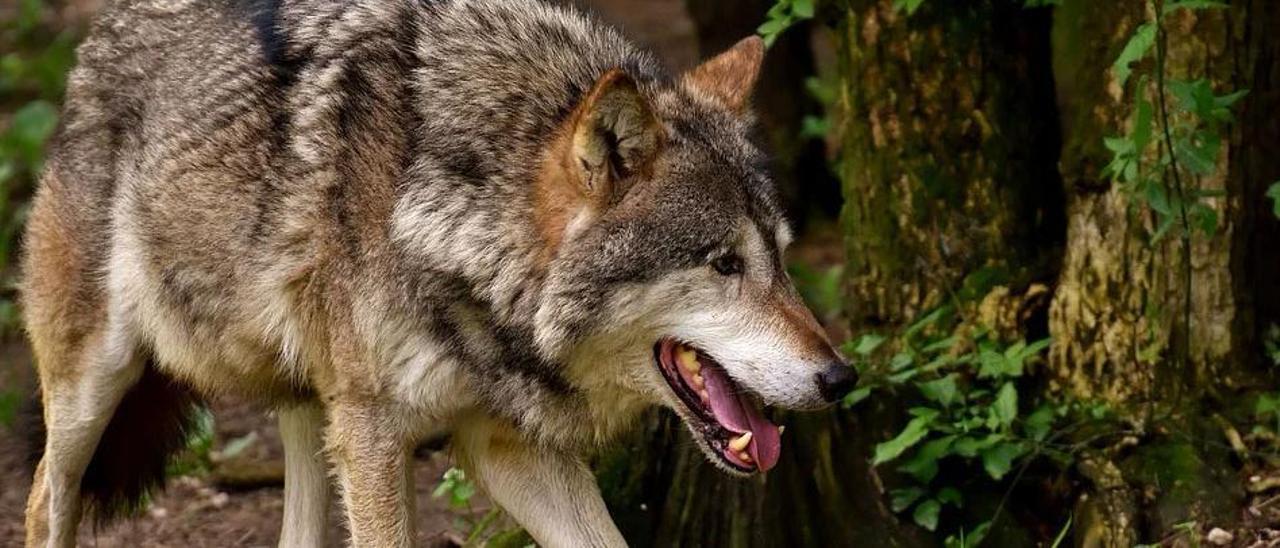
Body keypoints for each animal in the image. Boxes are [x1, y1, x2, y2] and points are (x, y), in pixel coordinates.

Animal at [20, 0, 855, 545]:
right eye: (724, 263)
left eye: (781, 257)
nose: (840, 377)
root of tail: (98, 36)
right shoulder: (374, 438)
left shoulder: (504, 444)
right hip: (94, 385)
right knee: (42, 500)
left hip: (311, 404)